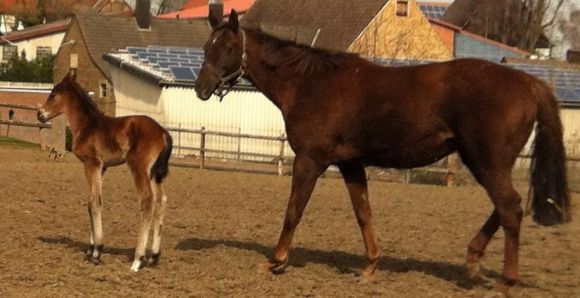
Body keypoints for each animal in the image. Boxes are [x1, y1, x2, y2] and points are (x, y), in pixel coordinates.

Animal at [37, 73, 173, 272]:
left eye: (53, 95)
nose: (39, 115)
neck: (87, 126)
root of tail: (163, 132)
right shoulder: (102, 167)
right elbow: (91, 201)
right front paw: (90, 249)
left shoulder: (91, 163)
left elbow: (95, 203)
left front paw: (97, 253)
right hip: (156, 173)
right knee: (161, 200)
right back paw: (153, 257)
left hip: (139, 167)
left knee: (147, 201)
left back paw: (138, 260)